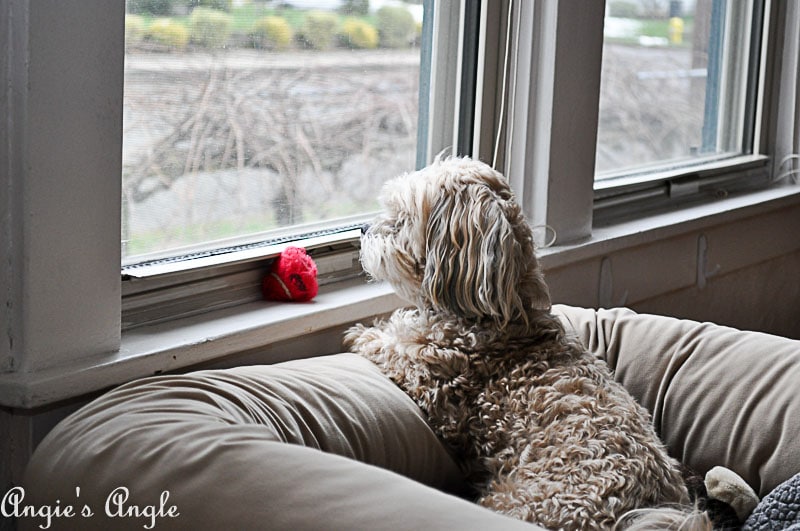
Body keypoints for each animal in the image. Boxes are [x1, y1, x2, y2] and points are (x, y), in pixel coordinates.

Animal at [346, 156, 708, 528]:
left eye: (401, 217)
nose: (363, 228)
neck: (500, 311)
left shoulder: (437, 378)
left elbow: (394, 347)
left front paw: (365, 333)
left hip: (514, 502)